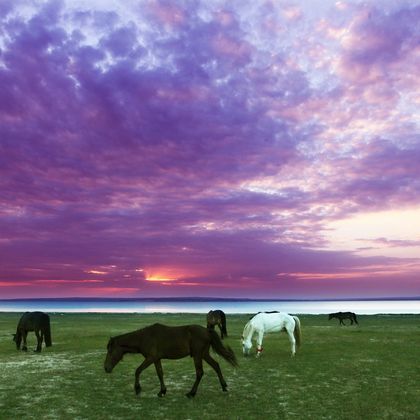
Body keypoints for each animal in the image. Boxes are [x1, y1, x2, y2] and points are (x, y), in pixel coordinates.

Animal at [104, 324, 238, 398]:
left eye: (110, 351)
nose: (106, 368)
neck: (143, 338)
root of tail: (206, 330)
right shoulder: (156, 359)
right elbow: (160, 373)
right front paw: (162, 392)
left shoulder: (150, 358)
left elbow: (138, 371)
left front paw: (138, 389)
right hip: (204, 354)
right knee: (216, 366)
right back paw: (224, 387)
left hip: (197, 355)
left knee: (200, 373)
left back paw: (191, 393)